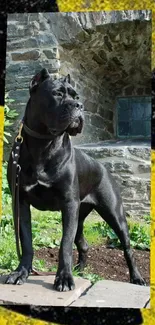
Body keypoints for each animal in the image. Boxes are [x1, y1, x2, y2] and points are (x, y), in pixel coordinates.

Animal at [5, 69, 145, 292]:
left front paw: (64, 278)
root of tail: (103, 167)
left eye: (76, 96)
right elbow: (26, 241)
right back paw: (79, 269)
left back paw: (136, 278)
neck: (43, 144)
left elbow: (65, 244)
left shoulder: (68, 204)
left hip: (114, 215)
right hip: (80, 215)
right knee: (82, 243)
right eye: (57, 94)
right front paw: (21, 272)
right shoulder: (20, 202)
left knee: (127, 248)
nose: (79, 106)